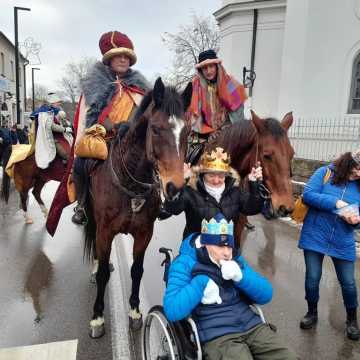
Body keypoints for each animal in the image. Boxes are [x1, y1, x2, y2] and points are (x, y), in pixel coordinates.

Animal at [84, 77, 193, 338]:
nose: (174, 187)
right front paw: (97, 317)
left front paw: (134, 311)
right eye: (156, 129)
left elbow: (137, 270)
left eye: (187, 131)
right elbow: (103, 275)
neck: (129, 180)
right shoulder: (105, 232)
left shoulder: (144, 233)